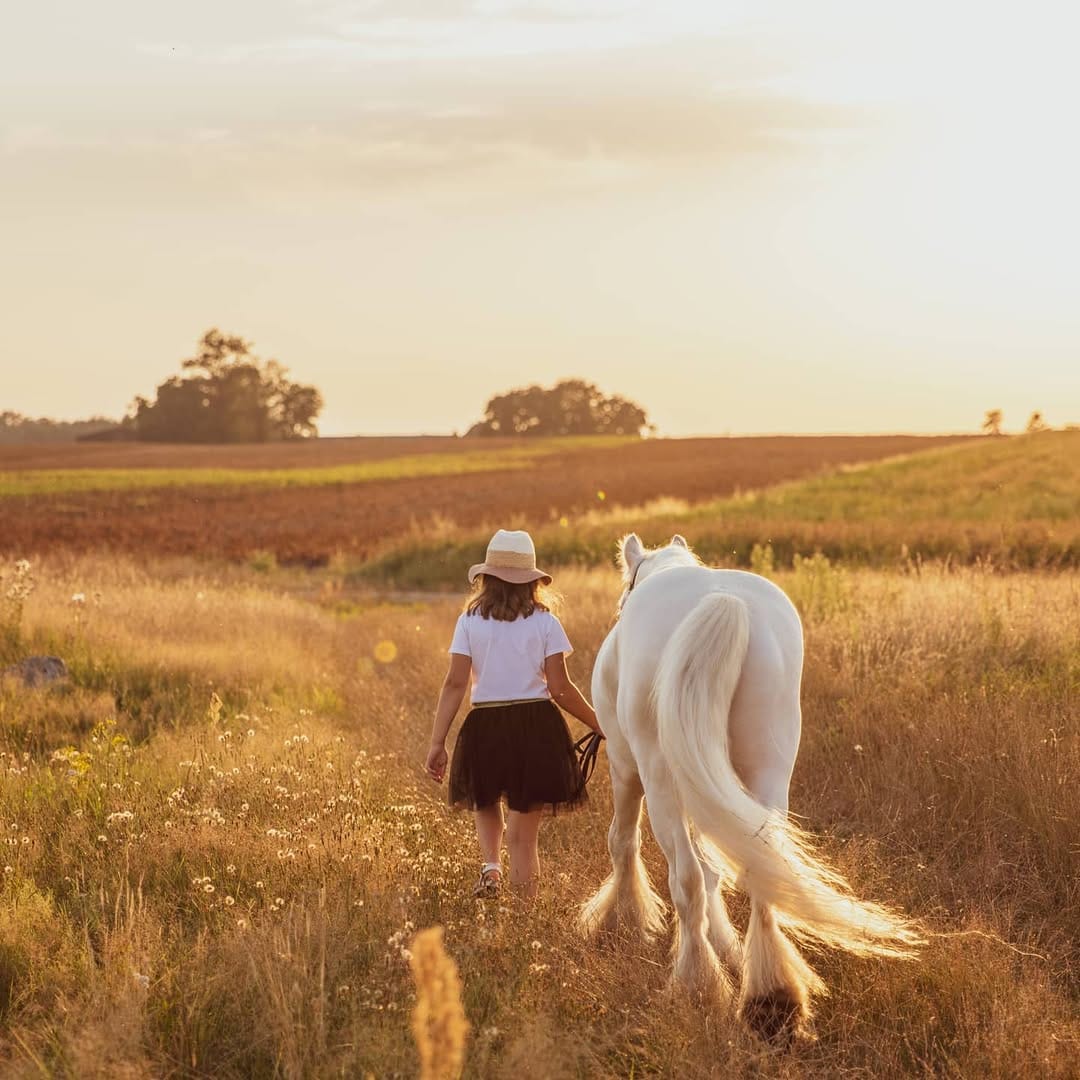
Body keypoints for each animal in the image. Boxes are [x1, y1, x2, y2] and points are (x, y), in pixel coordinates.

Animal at [579, 534, 921, 1041]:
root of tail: (725, 601)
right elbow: (714, 868)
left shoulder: (625, 767)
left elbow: (623, 843)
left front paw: (620, 923)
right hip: (767, 772)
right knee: (760, 871)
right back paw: (772, 999)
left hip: (658, 775)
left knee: (685, 875)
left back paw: (697, 986)